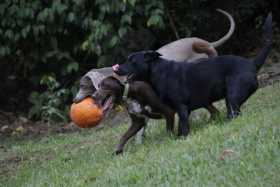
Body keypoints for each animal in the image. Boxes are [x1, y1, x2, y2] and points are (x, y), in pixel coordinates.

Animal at [113, 13, 272, 136]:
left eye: (132, 61)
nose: (116, 69)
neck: (158, 71)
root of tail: (252, 63)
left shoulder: (181, 108)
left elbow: (183, 127)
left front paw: (182, 138)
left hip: (233, 95)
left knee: (235, 113)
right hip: (229, 98)